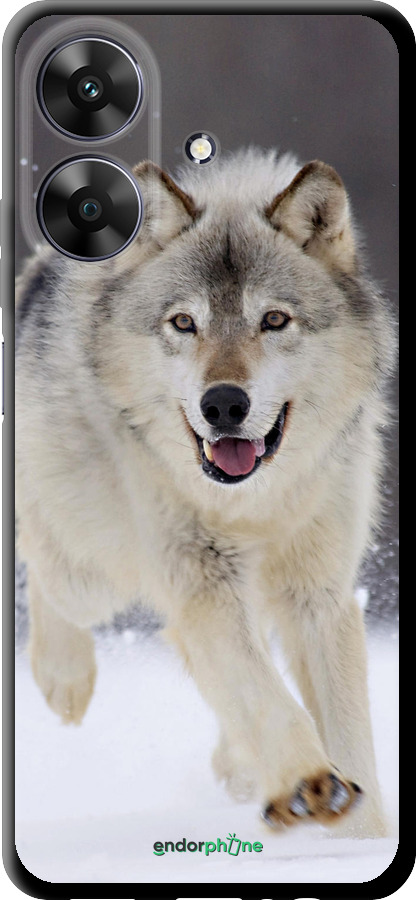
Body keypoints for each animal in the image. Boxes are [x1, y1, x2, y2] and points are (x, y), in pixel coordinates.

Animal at [16, 148, 395, 836]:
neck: (254, 503)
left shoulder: (318, 593)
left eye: (274, 320)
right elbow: (265, 696)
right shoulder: (201, 580)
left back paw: (240, 766)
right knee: (42, 560)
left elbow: (348, 733)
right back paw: (65, 679)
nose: (222, 404)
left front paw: (361, 837)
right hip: (94, 572)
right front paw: (308, 783)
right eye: (184, 323)